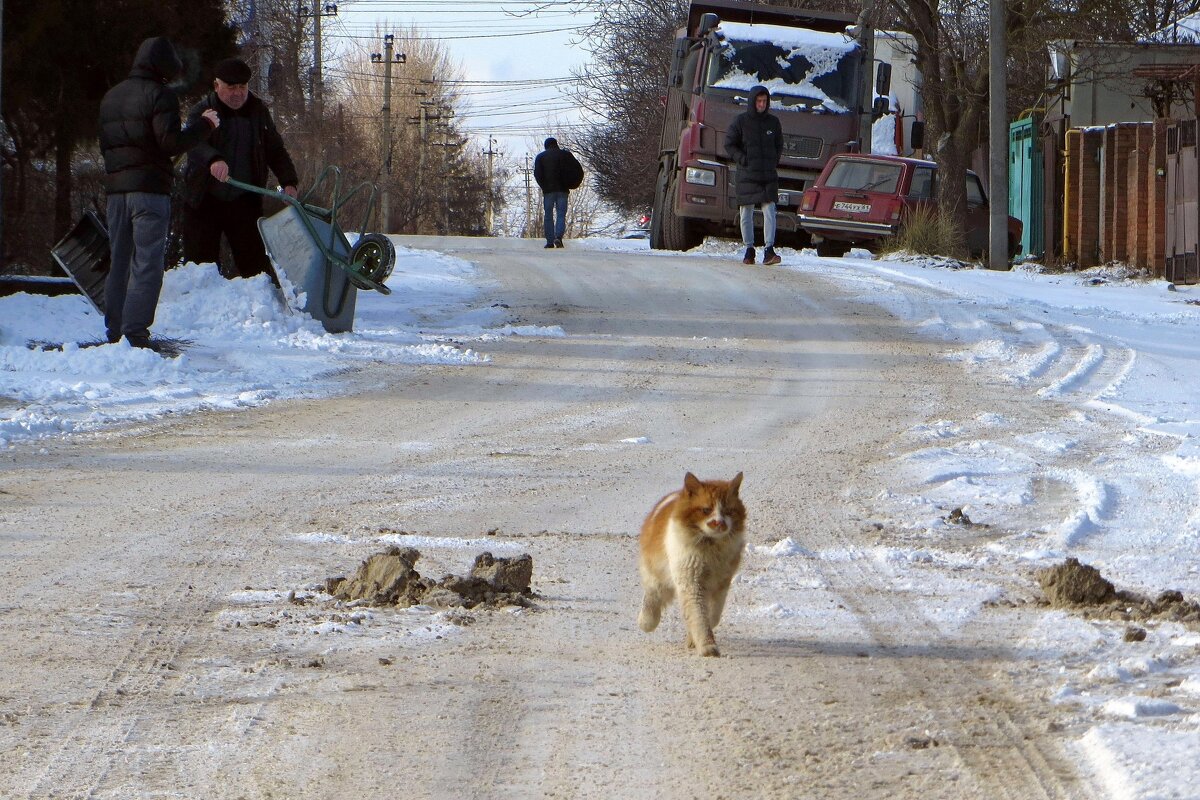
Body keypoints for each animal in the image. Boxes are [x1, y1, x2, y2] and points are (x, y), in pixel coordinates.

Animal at [643, 472, 744, 652]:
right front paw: (707, 646)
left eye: (728, 511)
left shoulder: (721, 584)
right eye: (706, 510)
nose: (720, 523)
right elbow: (699, 617)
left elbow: (711, 616)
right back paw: (647, 621)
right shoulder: (691, 583)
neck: (710, 547)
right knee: (652, 595)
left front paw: (694, 640)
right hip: (658, 576)